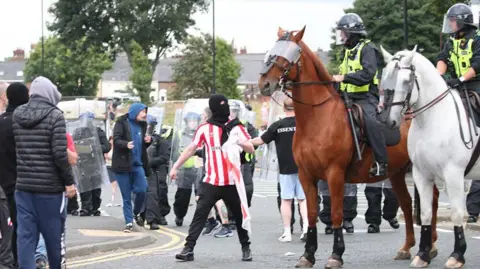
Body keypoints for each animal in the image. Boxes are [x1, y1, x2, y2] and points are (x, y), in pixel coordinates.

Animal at [258, 26, 438, 266]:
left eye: (287, 55)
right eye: (272, 51)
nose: (264, 84)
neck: (317, 118)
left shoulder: (334, 174)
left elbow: (336, 214)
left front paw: (336, 254)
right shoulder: (306, 175)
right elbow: (312, 214)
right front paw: (308, 255)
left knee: (432, 201)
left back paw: (431, 247)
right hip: (398, 172)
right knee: (408, 203)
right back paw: (407, 247)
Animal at [378, 46, 480, 268]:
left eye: (406, 80)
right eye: (384, 77)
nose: (388, 121)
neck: (434, 119)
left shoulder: (453, 174)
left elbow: (457, 213)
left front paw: (457, 255)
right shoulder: (421, 174)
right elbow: (424, 213)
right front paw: (423, 254)